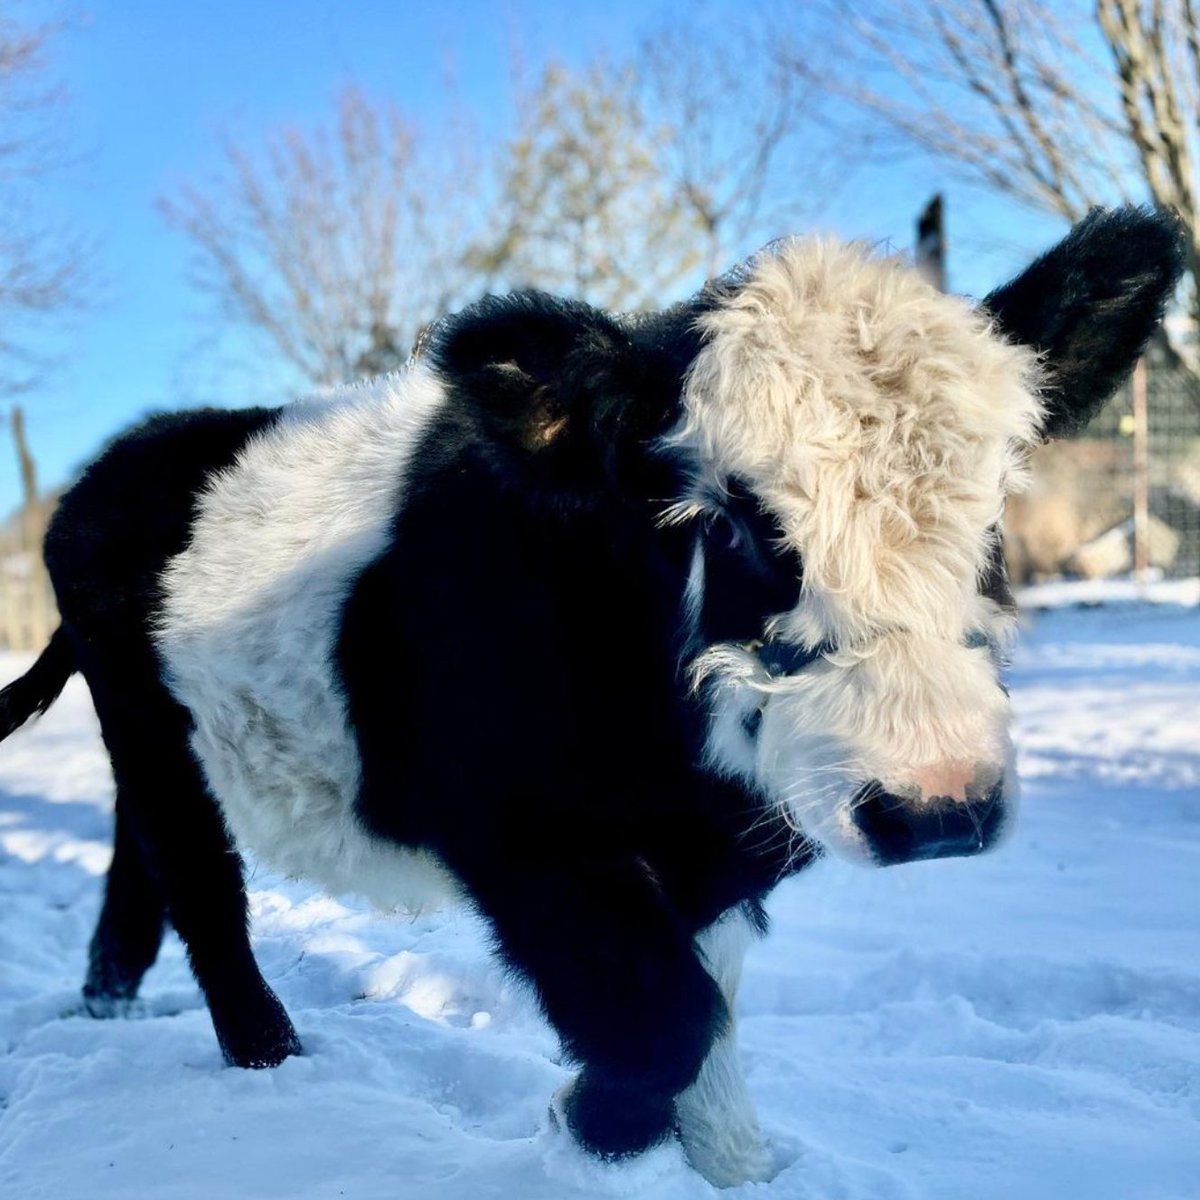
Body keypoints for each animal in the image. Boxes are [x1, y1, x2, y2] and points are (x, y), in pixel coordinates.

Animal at [0, 207, 1184, 1187]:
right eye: (734, 522)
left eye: (996, 509)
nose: (938, 801)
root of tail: (136, 451)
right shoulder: (516, 829)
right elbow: (665, 1017)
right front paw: (592, 1127)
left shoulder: (710, 857)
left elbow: (707, 1000)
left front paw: (729, 1161)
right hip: (150, 730)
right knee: (202, 887)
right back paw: (271, 1063)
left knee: (137, 864)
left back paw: (109, 1000)